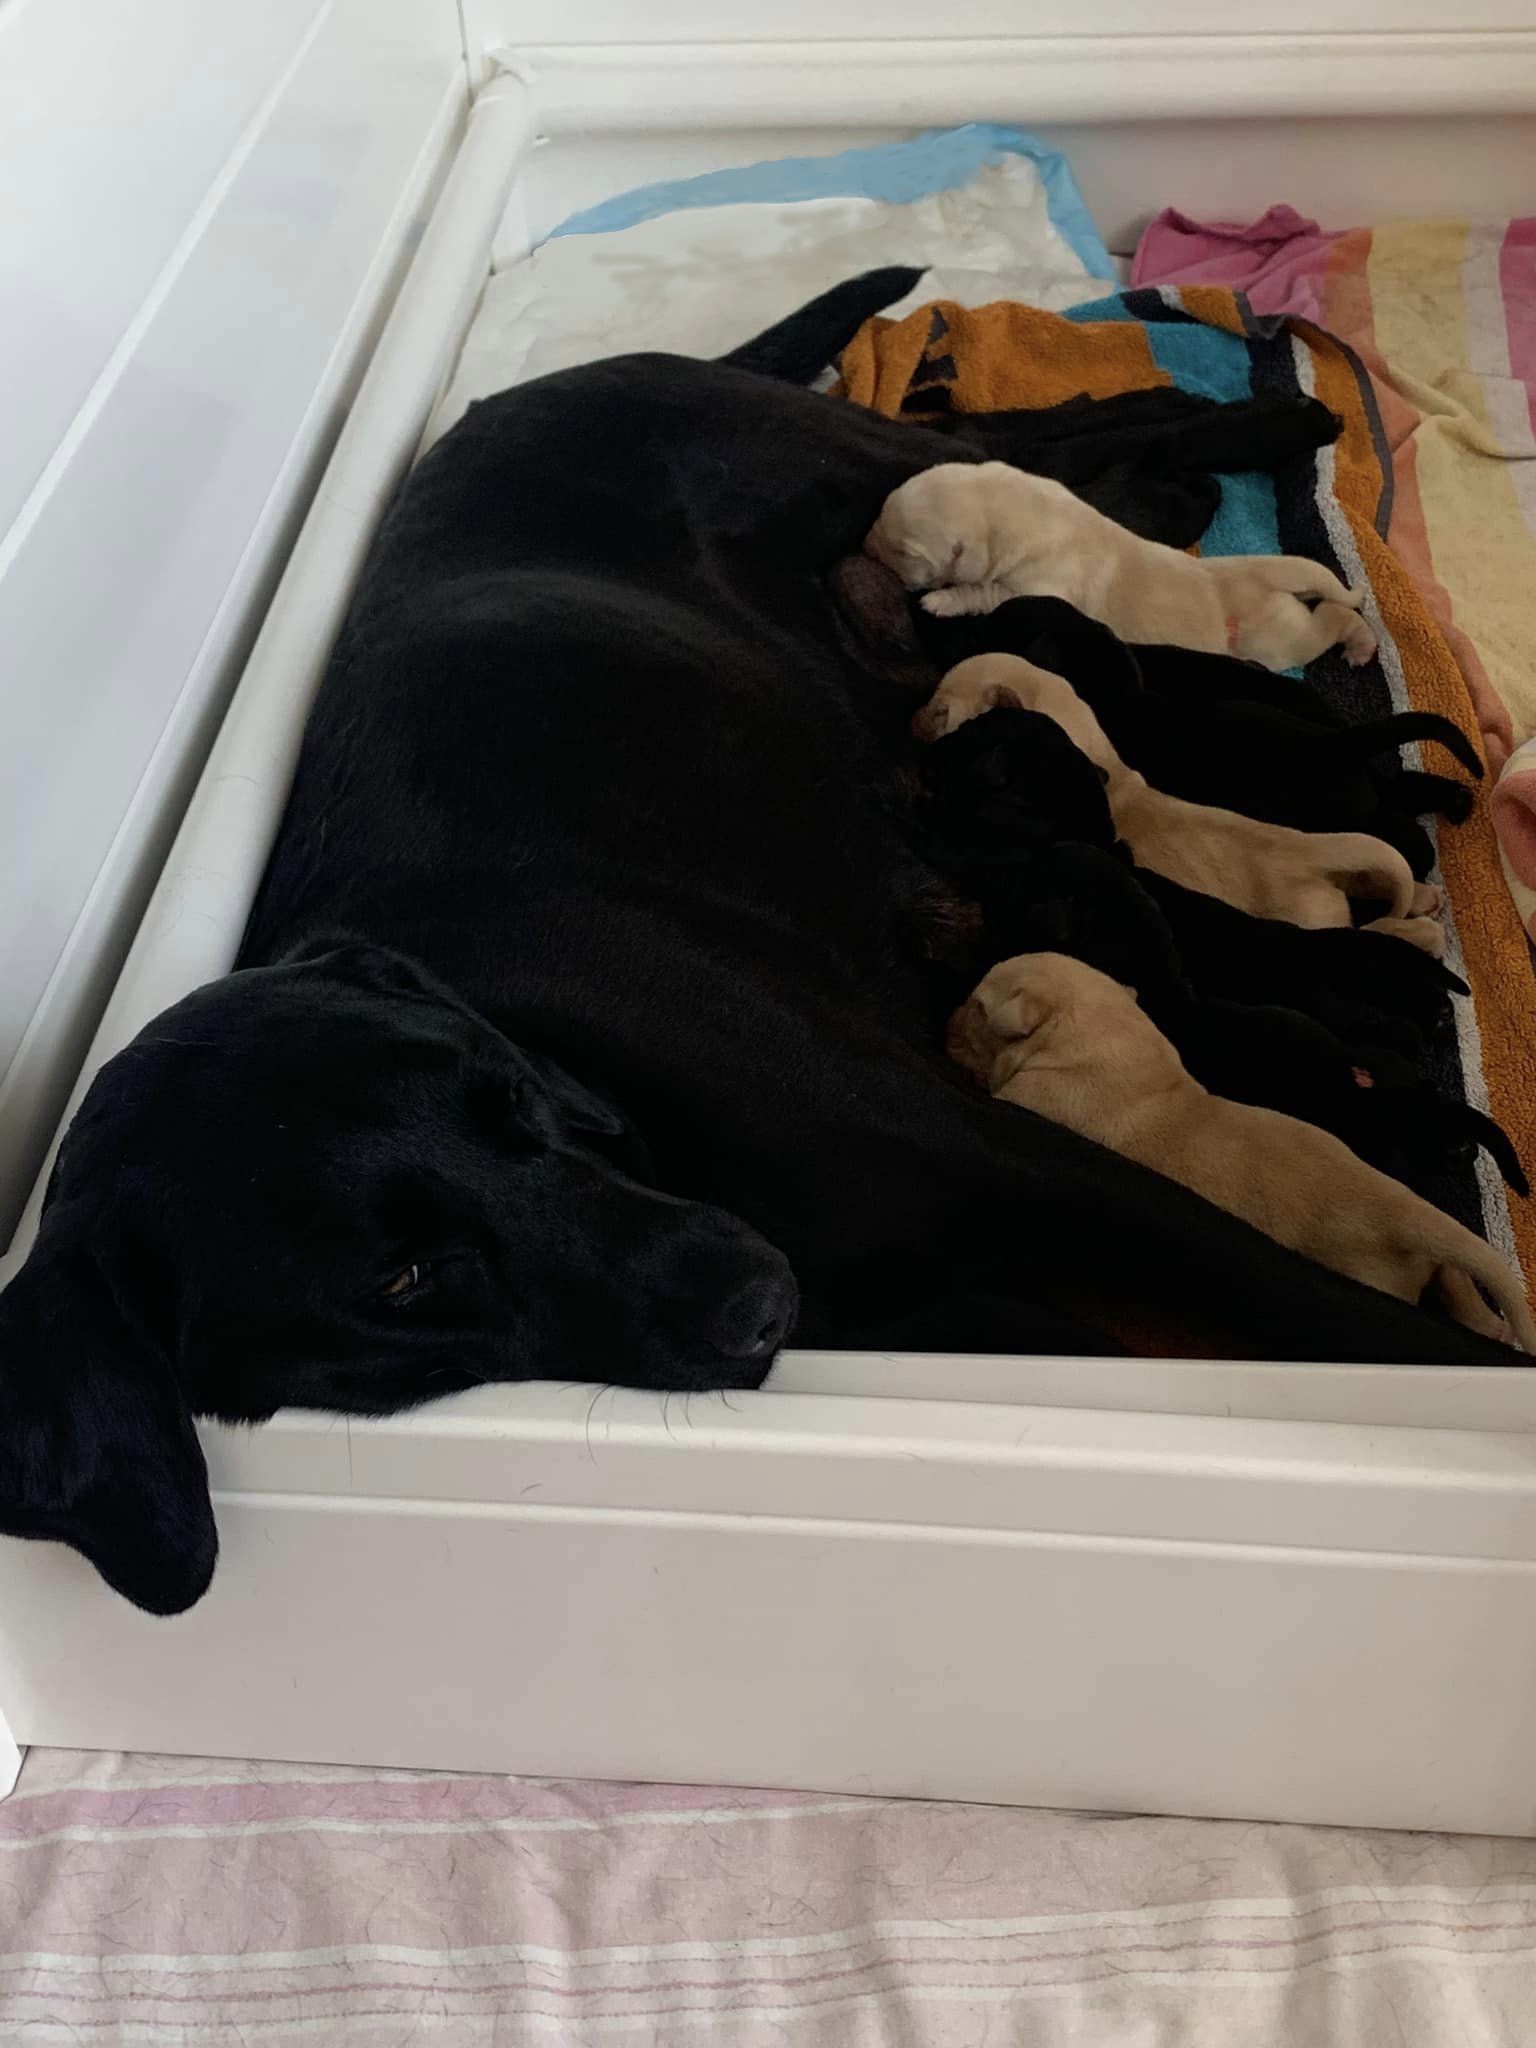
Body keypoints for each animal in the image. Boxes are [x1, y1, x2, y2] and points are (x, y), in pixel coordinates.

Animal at [868, 460, 1384, 667]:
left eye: (903, 551)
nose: (866, 547)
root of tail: (1266, 573)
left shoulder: (1037, 587)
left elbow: (983, 592)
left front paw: (940, 600)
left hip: (1277, 640)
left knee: (1333, 617)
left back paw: (1360, 646)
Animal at [950, 950, 1536, 1351]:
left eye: (977, 1005)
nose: (946, 1023)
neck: (1111, 1045)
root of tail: (1399, 1209)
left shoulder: (1034, 1099)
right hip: (1439, 1266)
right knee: (1467, 1299)